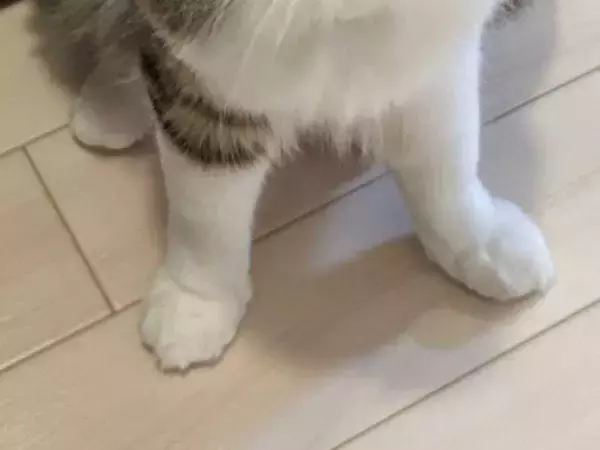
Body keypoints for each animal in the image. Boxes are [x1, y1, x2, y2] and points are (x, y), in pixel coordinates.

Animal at [34, 0, 553, 371]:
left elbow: (447, 156)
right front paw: (198, 299)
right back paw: (110, 107)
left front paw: (478, 246)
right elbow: (205, 207)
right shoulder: (205, 67)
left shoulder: (437, 46)